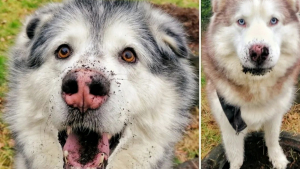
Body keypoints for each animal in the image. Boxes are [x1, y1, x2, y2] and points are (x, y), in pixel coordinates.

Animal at [203, 0, 300, 169]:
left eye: (273, 20)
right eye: (241, 21)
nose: (259, 52)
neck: (255, 88)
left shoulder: (275, 114)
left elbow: (272, 139)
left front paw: (277, 158)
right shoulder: (228, 124)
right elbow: (235, 155)